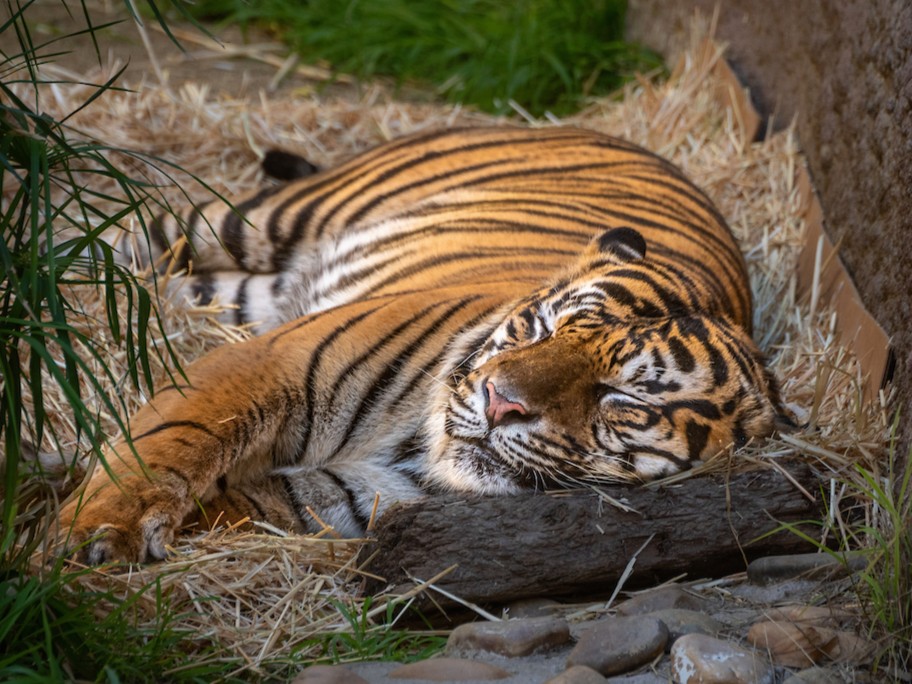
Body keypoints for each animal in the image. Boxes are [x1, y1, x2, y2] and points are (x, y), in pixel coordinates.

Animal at [58, 125, 792, 564]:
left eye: (623, 396)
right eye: (542, 328)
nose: (500, 403)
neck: (415, 452)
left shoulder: (327, 494)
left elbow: (226, 503)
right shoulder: (266, 361)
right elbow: (166, 443)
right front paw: (94, 535)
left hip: (238, 291)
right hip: (260, 219)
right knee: (123, 233)